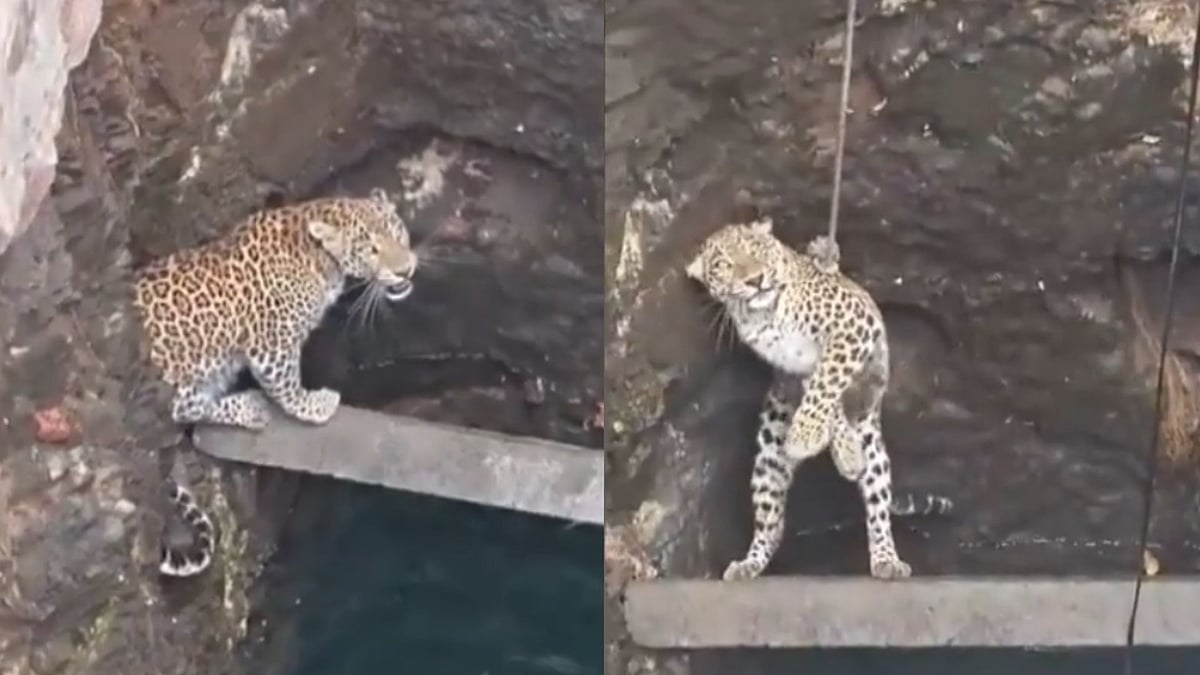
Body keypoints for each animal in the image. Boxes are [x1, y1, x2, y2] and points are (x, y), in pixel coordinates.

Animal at [134, 188, 418, 577]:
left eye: (397, 230)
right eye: (371, 249)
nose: (405, 269)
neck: (321, 257)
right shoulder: (272, 343)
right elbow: (286, 385)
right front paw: (315, 407)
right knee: (186, 409)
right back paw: (249, 406)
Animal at [685, 217, 951, 581]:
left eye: (756, 249)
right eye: (722, 265)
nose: (755, 280)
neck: (761, 315)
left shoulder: (850, 329)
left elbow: (826, 386)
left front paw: (809, 437)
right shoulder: (803, 365)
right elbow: (826, 400)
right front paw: (831, 444)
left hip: (872, 440)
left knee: (878, 502)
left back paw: (886, 558)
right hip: (769, 455)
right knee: (772, 524)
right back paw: (750, 562)